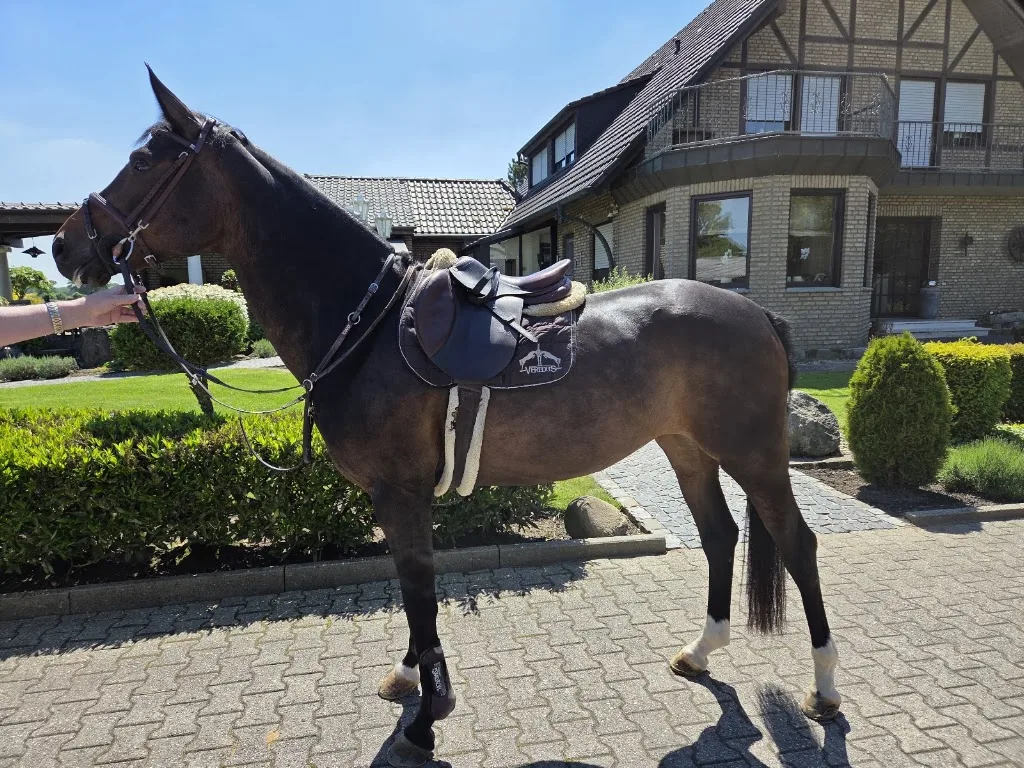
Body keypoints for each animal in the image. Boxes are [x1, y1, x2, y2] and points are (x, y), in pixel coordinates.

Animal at [52, 67, 842, 766]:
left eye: (143, 161)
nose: (64, 245)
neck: (367, 325)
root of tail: (756, 315)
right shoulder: (396, 497)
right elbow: (412, 594)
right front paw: (411, 678)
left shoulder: (401, 493)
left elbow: (419, 592)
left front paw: (426, 719)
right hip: (686, 448)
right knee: (720, 535)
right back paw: (701, 652)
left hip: (754, 455)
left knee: (797, 545)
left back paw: (825, 688)